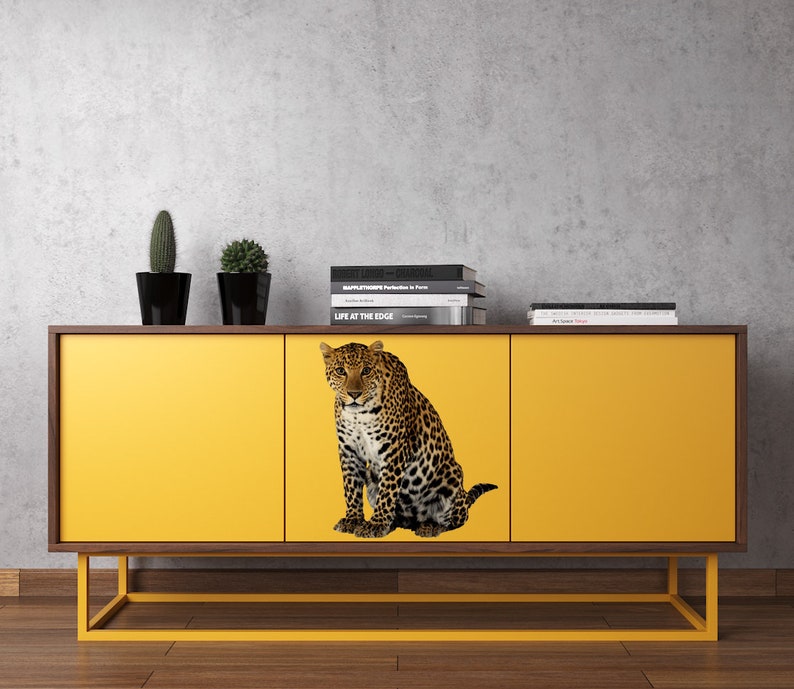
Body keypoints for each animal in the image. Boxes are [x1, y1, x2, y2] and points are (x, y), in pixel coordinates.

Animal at [319, 340, 497, 538]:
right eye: (340, 371)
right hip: (372, 481)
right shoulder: (348, 449)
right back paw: (395, 523)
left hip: (453, 476)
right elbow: (351, 487)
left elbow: (387, 490)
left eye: (366, 370)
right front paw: (353, 520)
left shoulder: (393, 449)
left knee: (454, 521)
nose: (354, 394)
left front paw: (376, 524)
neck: (359, 414)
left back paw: (430, 526)